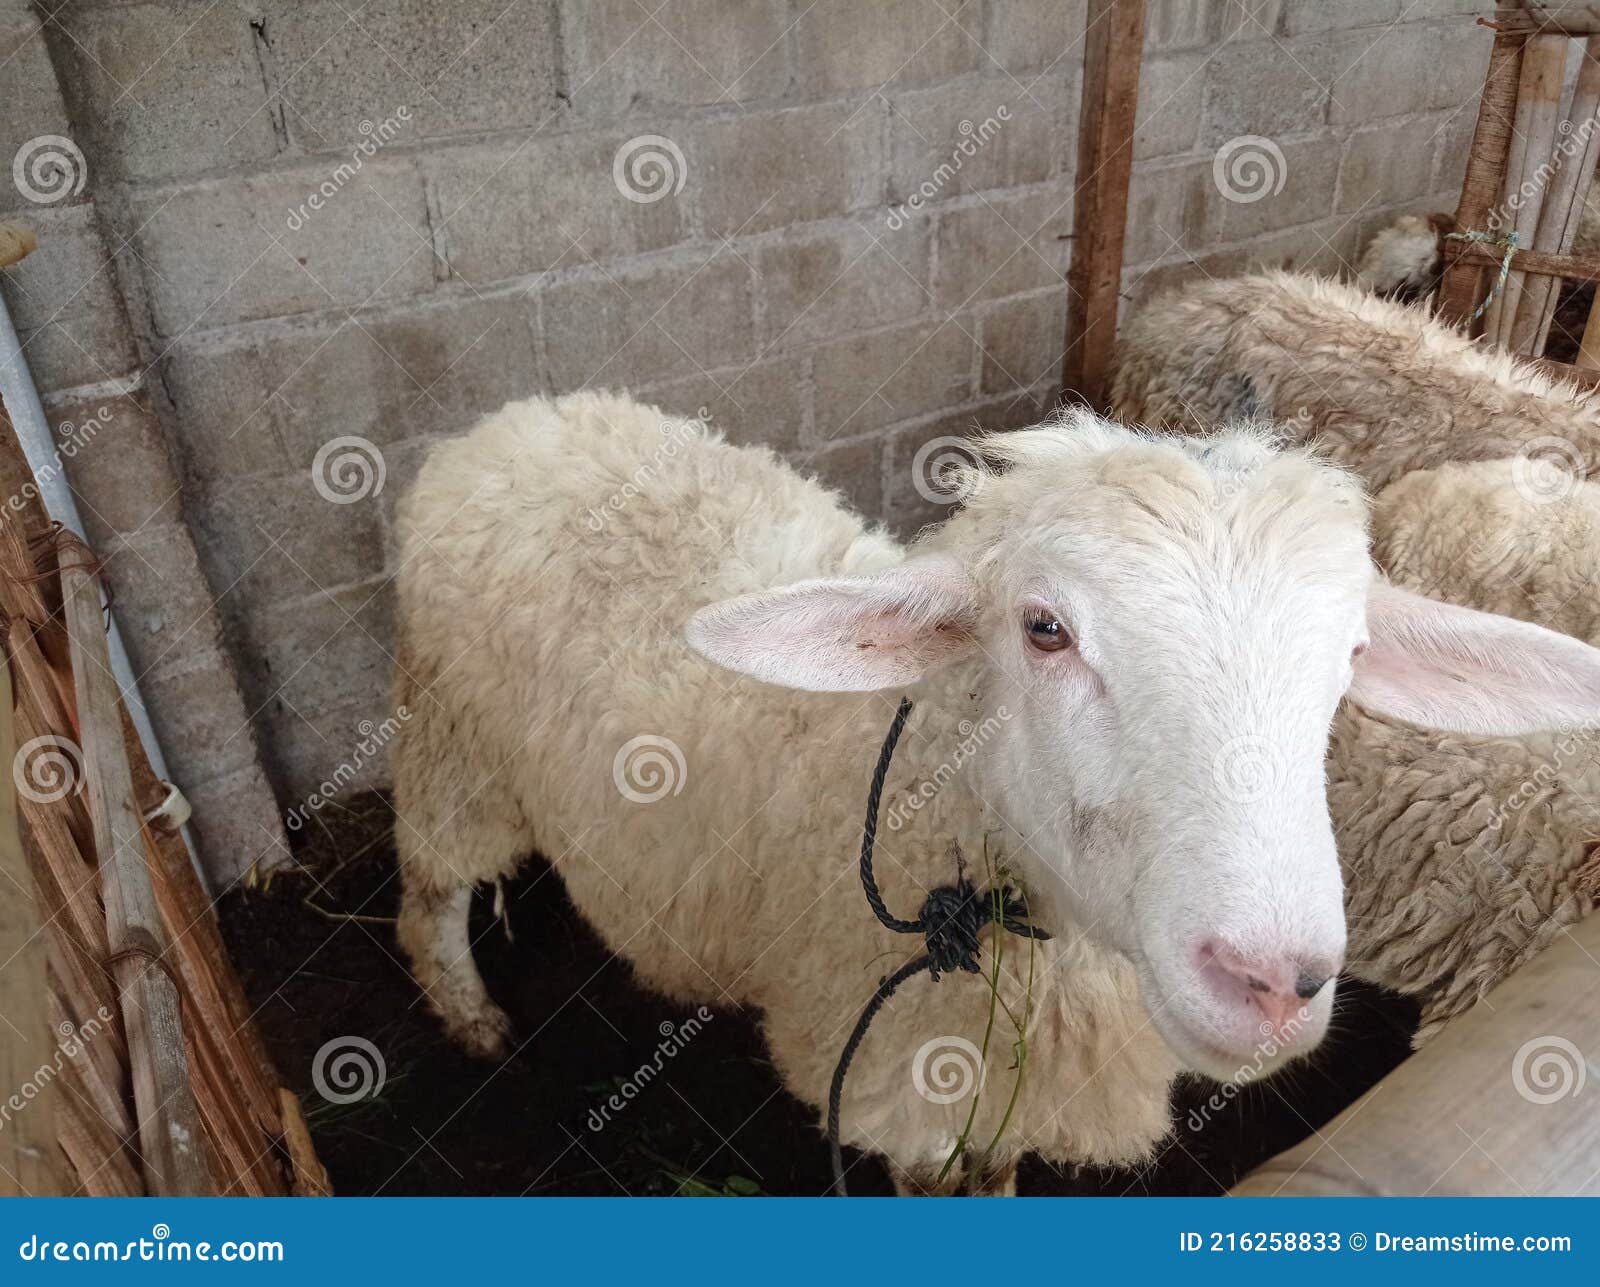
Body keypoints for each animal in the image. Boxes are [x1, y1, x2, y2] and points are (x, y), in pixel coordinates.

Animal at [390, 390, 1600, 1194]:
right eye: (1043, 627)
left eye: (1350, 654)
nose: (1271, 980)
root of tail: (519, 416)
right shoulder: (904, 1080)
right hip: (450, 746)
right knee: (429, 890)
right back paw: (470, 1015)